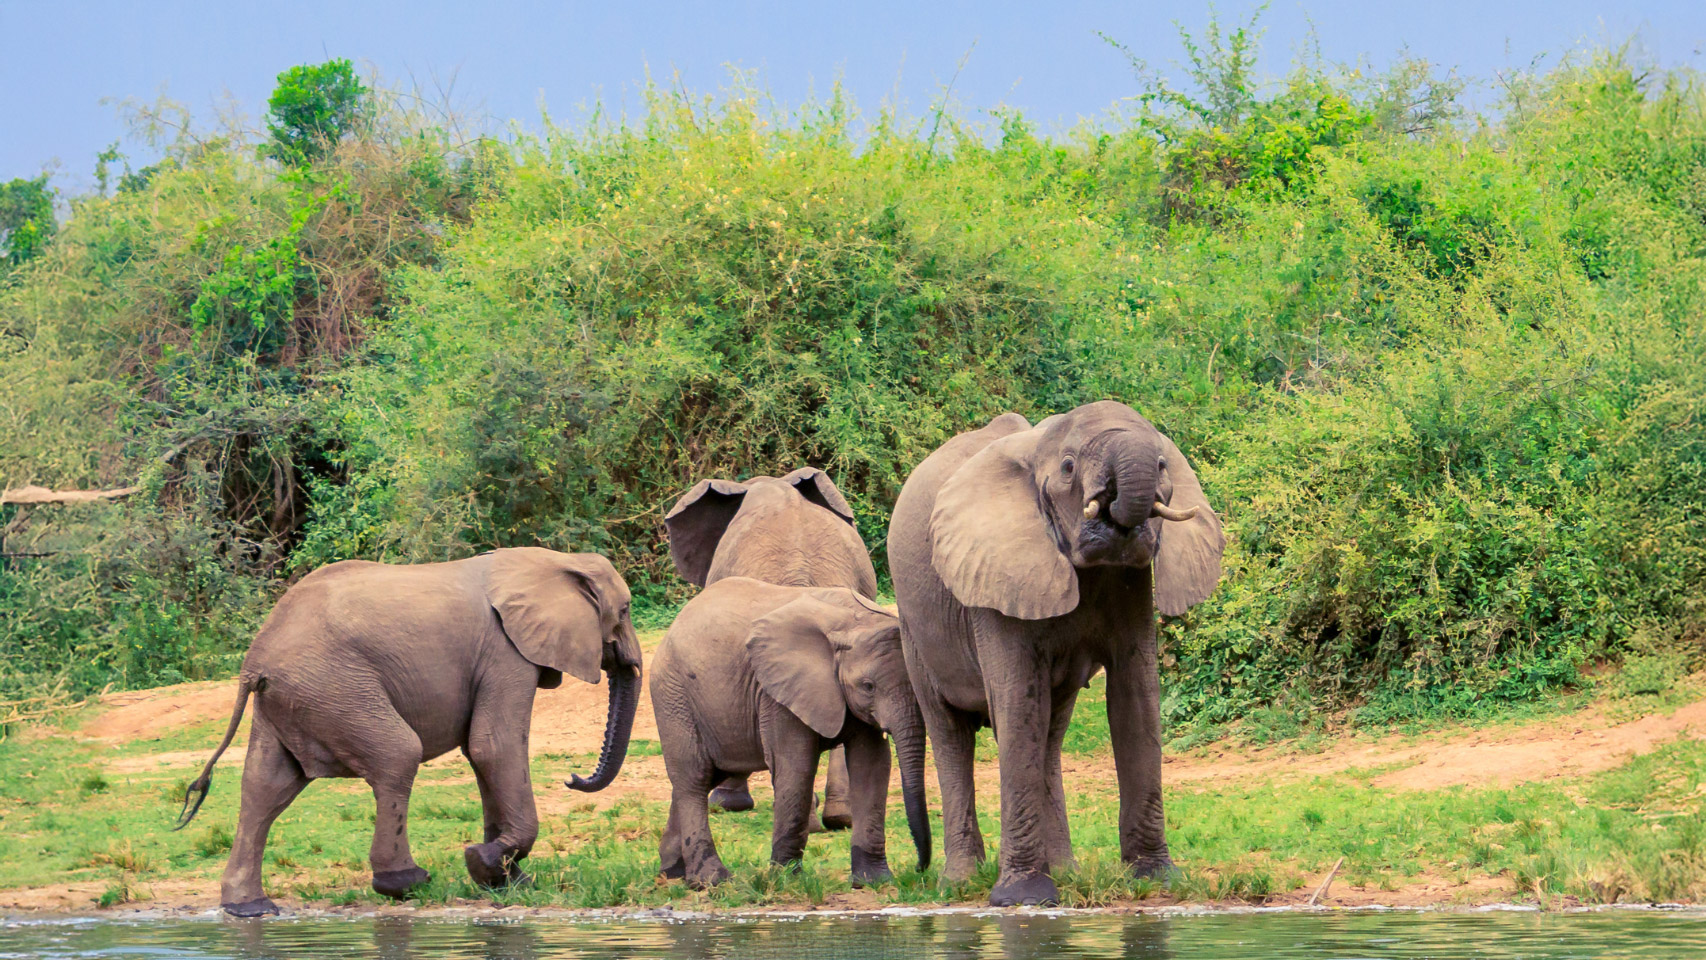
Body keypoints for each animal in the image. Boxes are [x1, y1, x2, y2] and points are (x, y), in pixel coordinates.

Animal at [174, 547, 643, 917]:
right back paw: (407, 881)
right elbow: (494, 745)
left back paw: (249, 908)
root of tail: (254, 662)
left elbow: (482, 756)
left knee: (265, 786)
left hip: (292, 698)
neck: (555, 560)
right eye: (623, 611)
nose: (572, 777)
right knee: (397, 756)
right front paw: (483, 861)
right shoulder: (505, 652)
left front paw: (506, 881)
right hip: (334, 688)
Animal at [648, 576, 930, 889]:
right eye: (868, 686)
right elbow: (797, 766)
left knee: (707, 774)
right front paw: (786, 879)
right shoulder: (775, 694)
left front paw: (874, 881)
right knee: (695, 778)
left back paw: (673, 872)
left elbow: (872, 765)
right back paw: (713, 881)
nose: (919, 868)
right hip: (673, 694)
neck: (852, 621)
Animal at [887, 401, 1224, 906]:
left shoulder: (1132, 581)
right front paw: (1024, 898)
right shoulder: (994, 574)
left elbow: (1136, 697)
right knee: (950, 733)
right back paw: (961, 883)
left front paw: (1157, 880)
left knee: (1051, 731)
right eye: (1068, 468)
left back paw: (1066, 872)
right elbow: (1017, 703)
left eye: (1164, 465)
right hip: (915, 628)